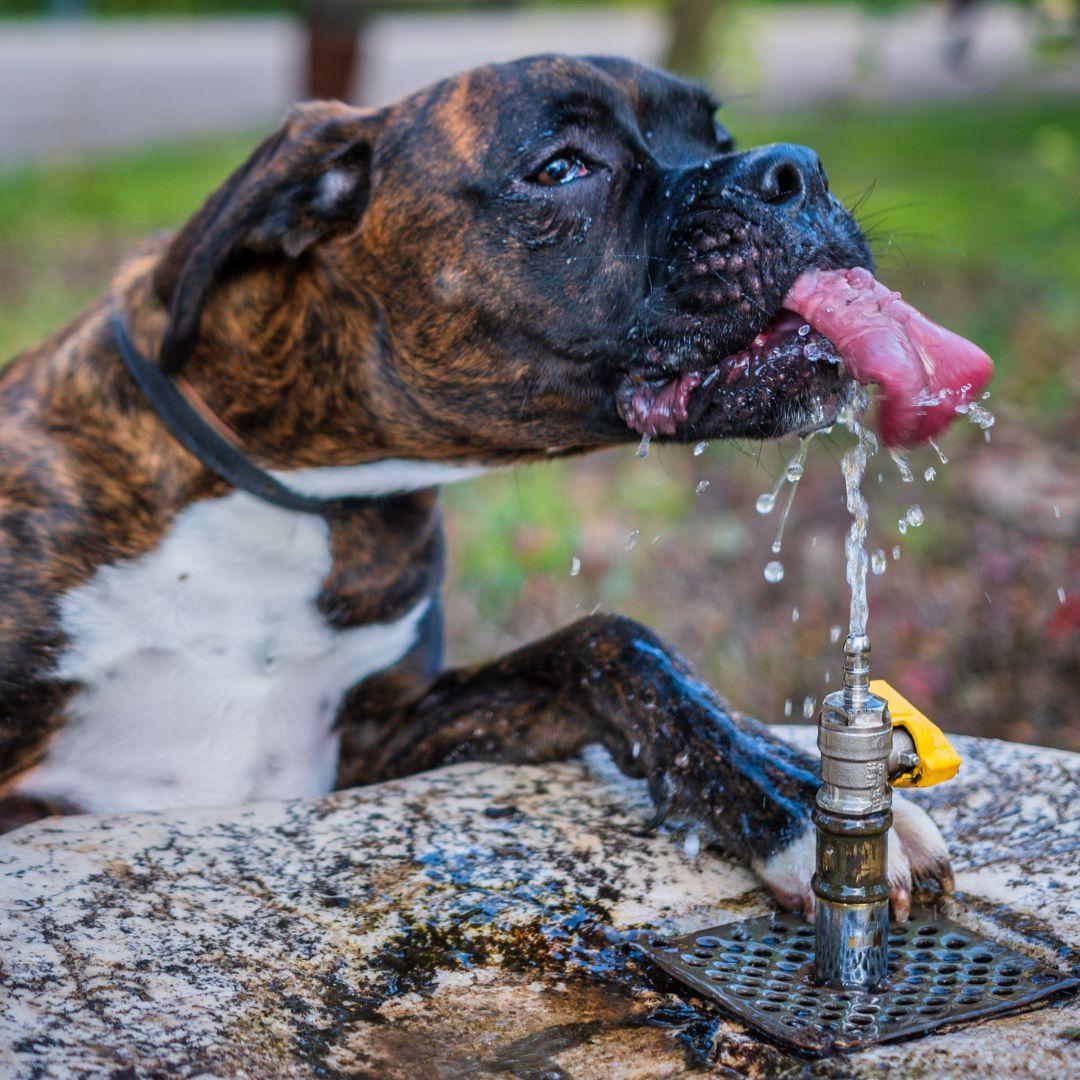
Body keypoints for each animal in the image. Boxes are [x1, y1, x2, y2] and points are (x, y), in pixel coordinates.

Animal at [0, 56, 950, 920]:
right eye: (561, 168)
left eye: (718, 139)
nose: (795, 169)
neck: (289, 494)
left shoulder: (381, 742)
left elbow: (612, 643)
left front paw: (796, 790)